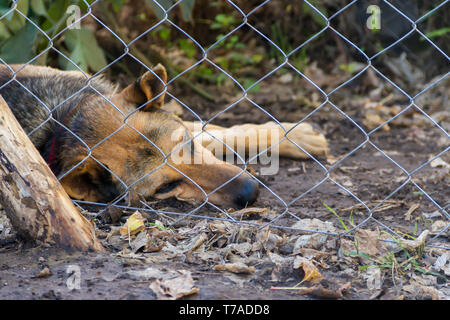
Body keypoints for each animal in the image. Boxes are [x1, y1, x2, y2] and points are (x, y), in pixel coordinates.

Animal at [0, 64, 326, 210]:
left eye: (187, 145)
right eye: (166, 187)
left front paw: (295, 135)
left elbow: (225, 131)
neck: (63, 121)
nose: (251, 192)